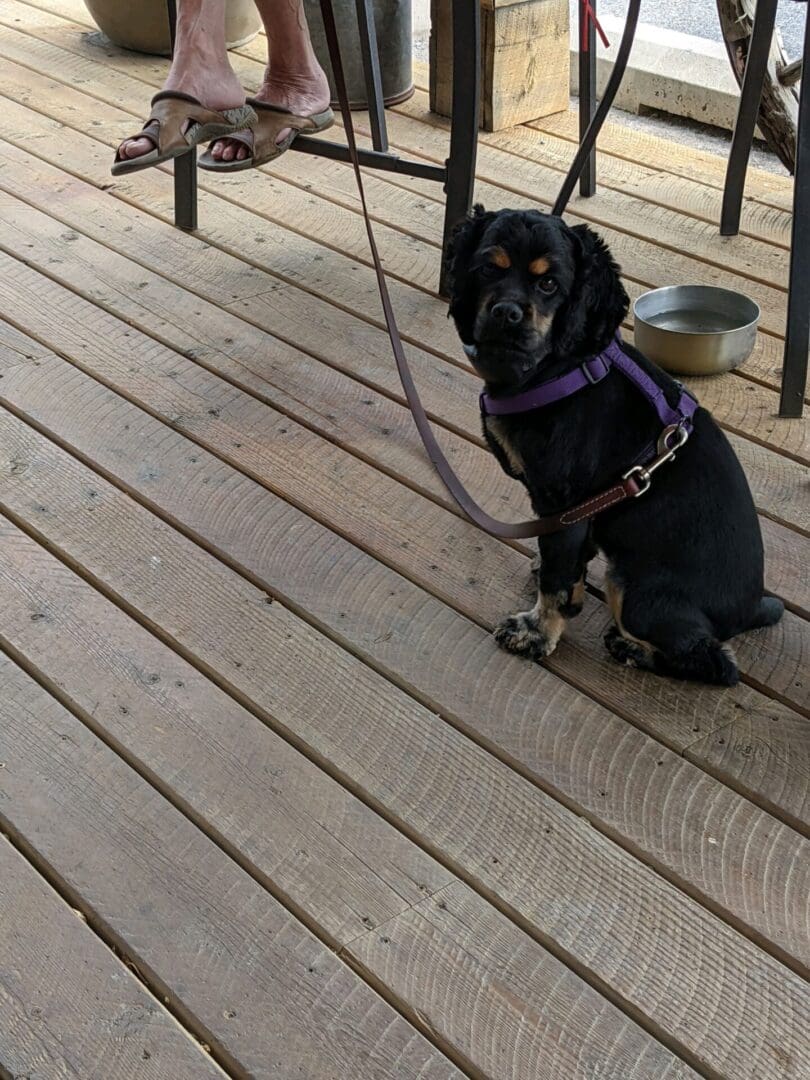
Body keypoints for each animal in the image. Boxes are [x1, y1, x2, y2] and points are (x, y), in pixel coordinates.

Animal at [447, 206, 781, 686]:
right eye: (489, 267)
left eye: (549, 284)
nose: (506, 312)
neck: (558, 367)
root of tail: (751, 609)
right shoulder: (578, 514)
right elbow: (567, 568)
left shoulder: (564, 505)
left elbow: (555, 581)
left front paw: (535, 633)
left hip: (638, 591)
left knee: (718, 665)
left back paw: (631, 649)